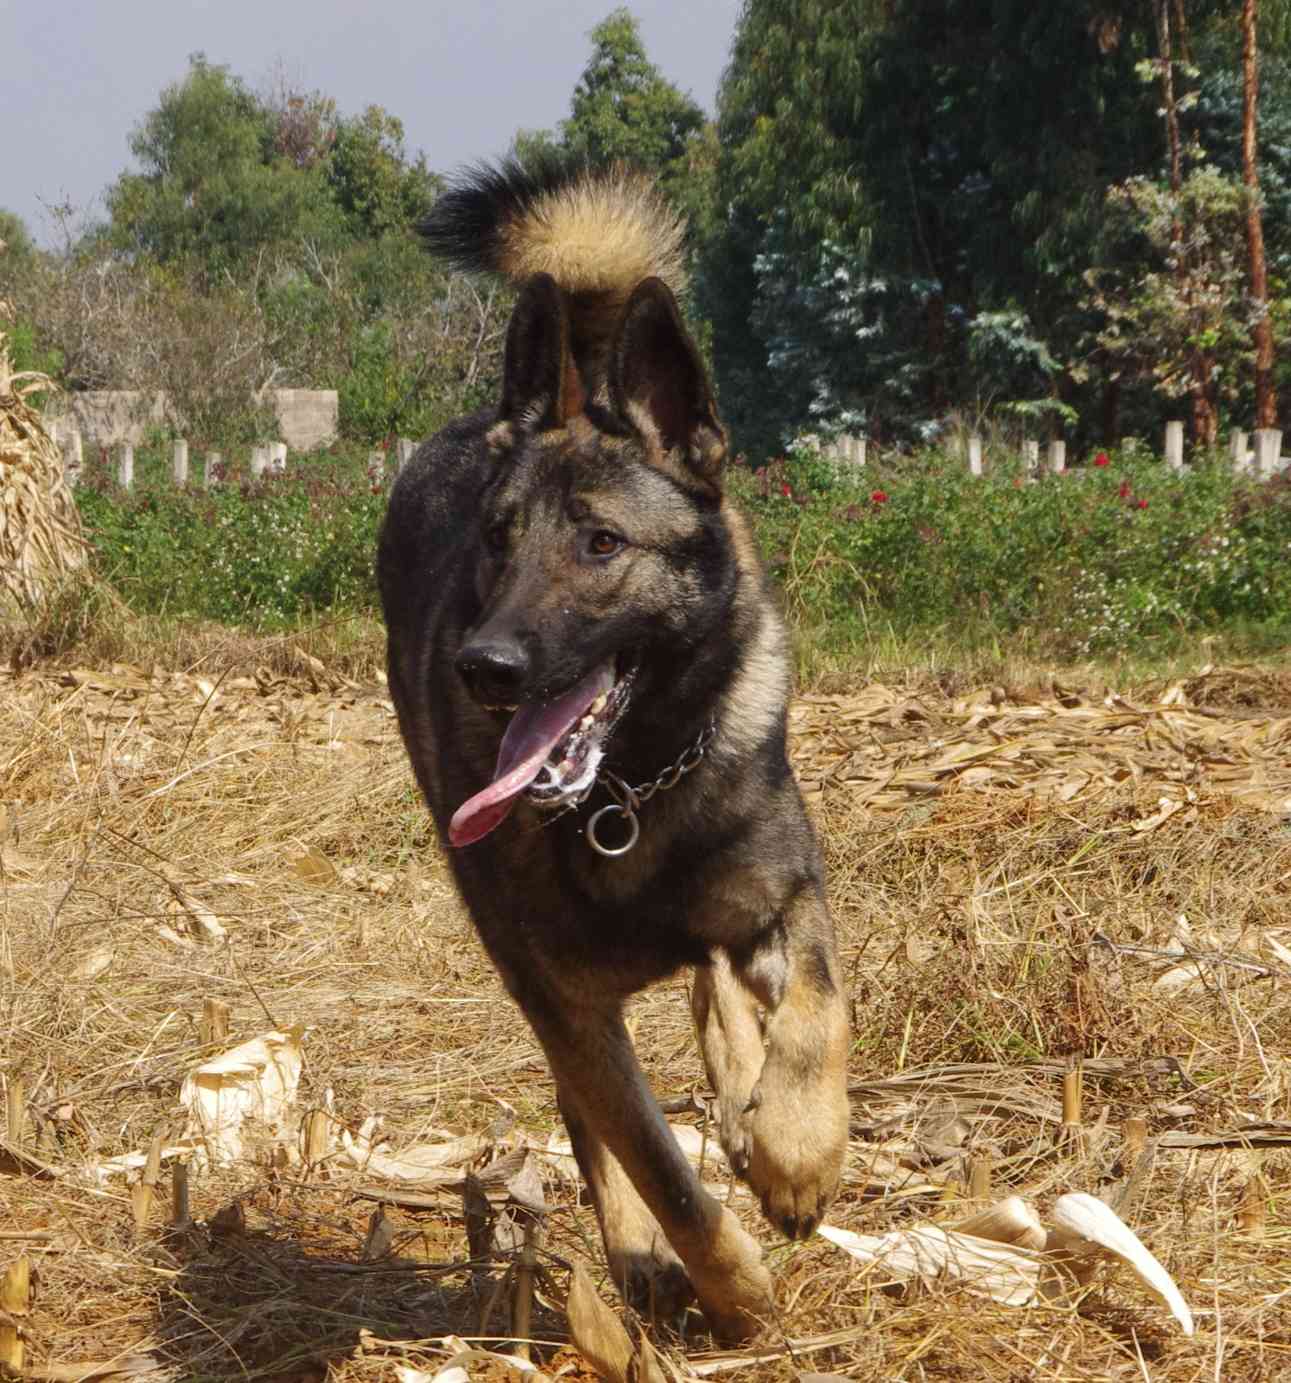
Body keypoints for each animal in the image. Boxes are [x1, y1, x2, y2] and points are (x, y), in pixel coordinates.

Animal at [379, 159, 852, 1338]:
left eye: (601, 543)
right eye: (498, 540)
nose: (486, 666)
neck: (630, 790)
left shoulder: (791, 895)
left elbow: (816, 1011)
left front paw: (797, 1152)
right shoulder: (567, 1007)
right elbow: (654, 1162)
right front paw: (736, 1292)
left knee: (727, 995)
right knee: (601, 1125)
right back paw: (644, 1246)